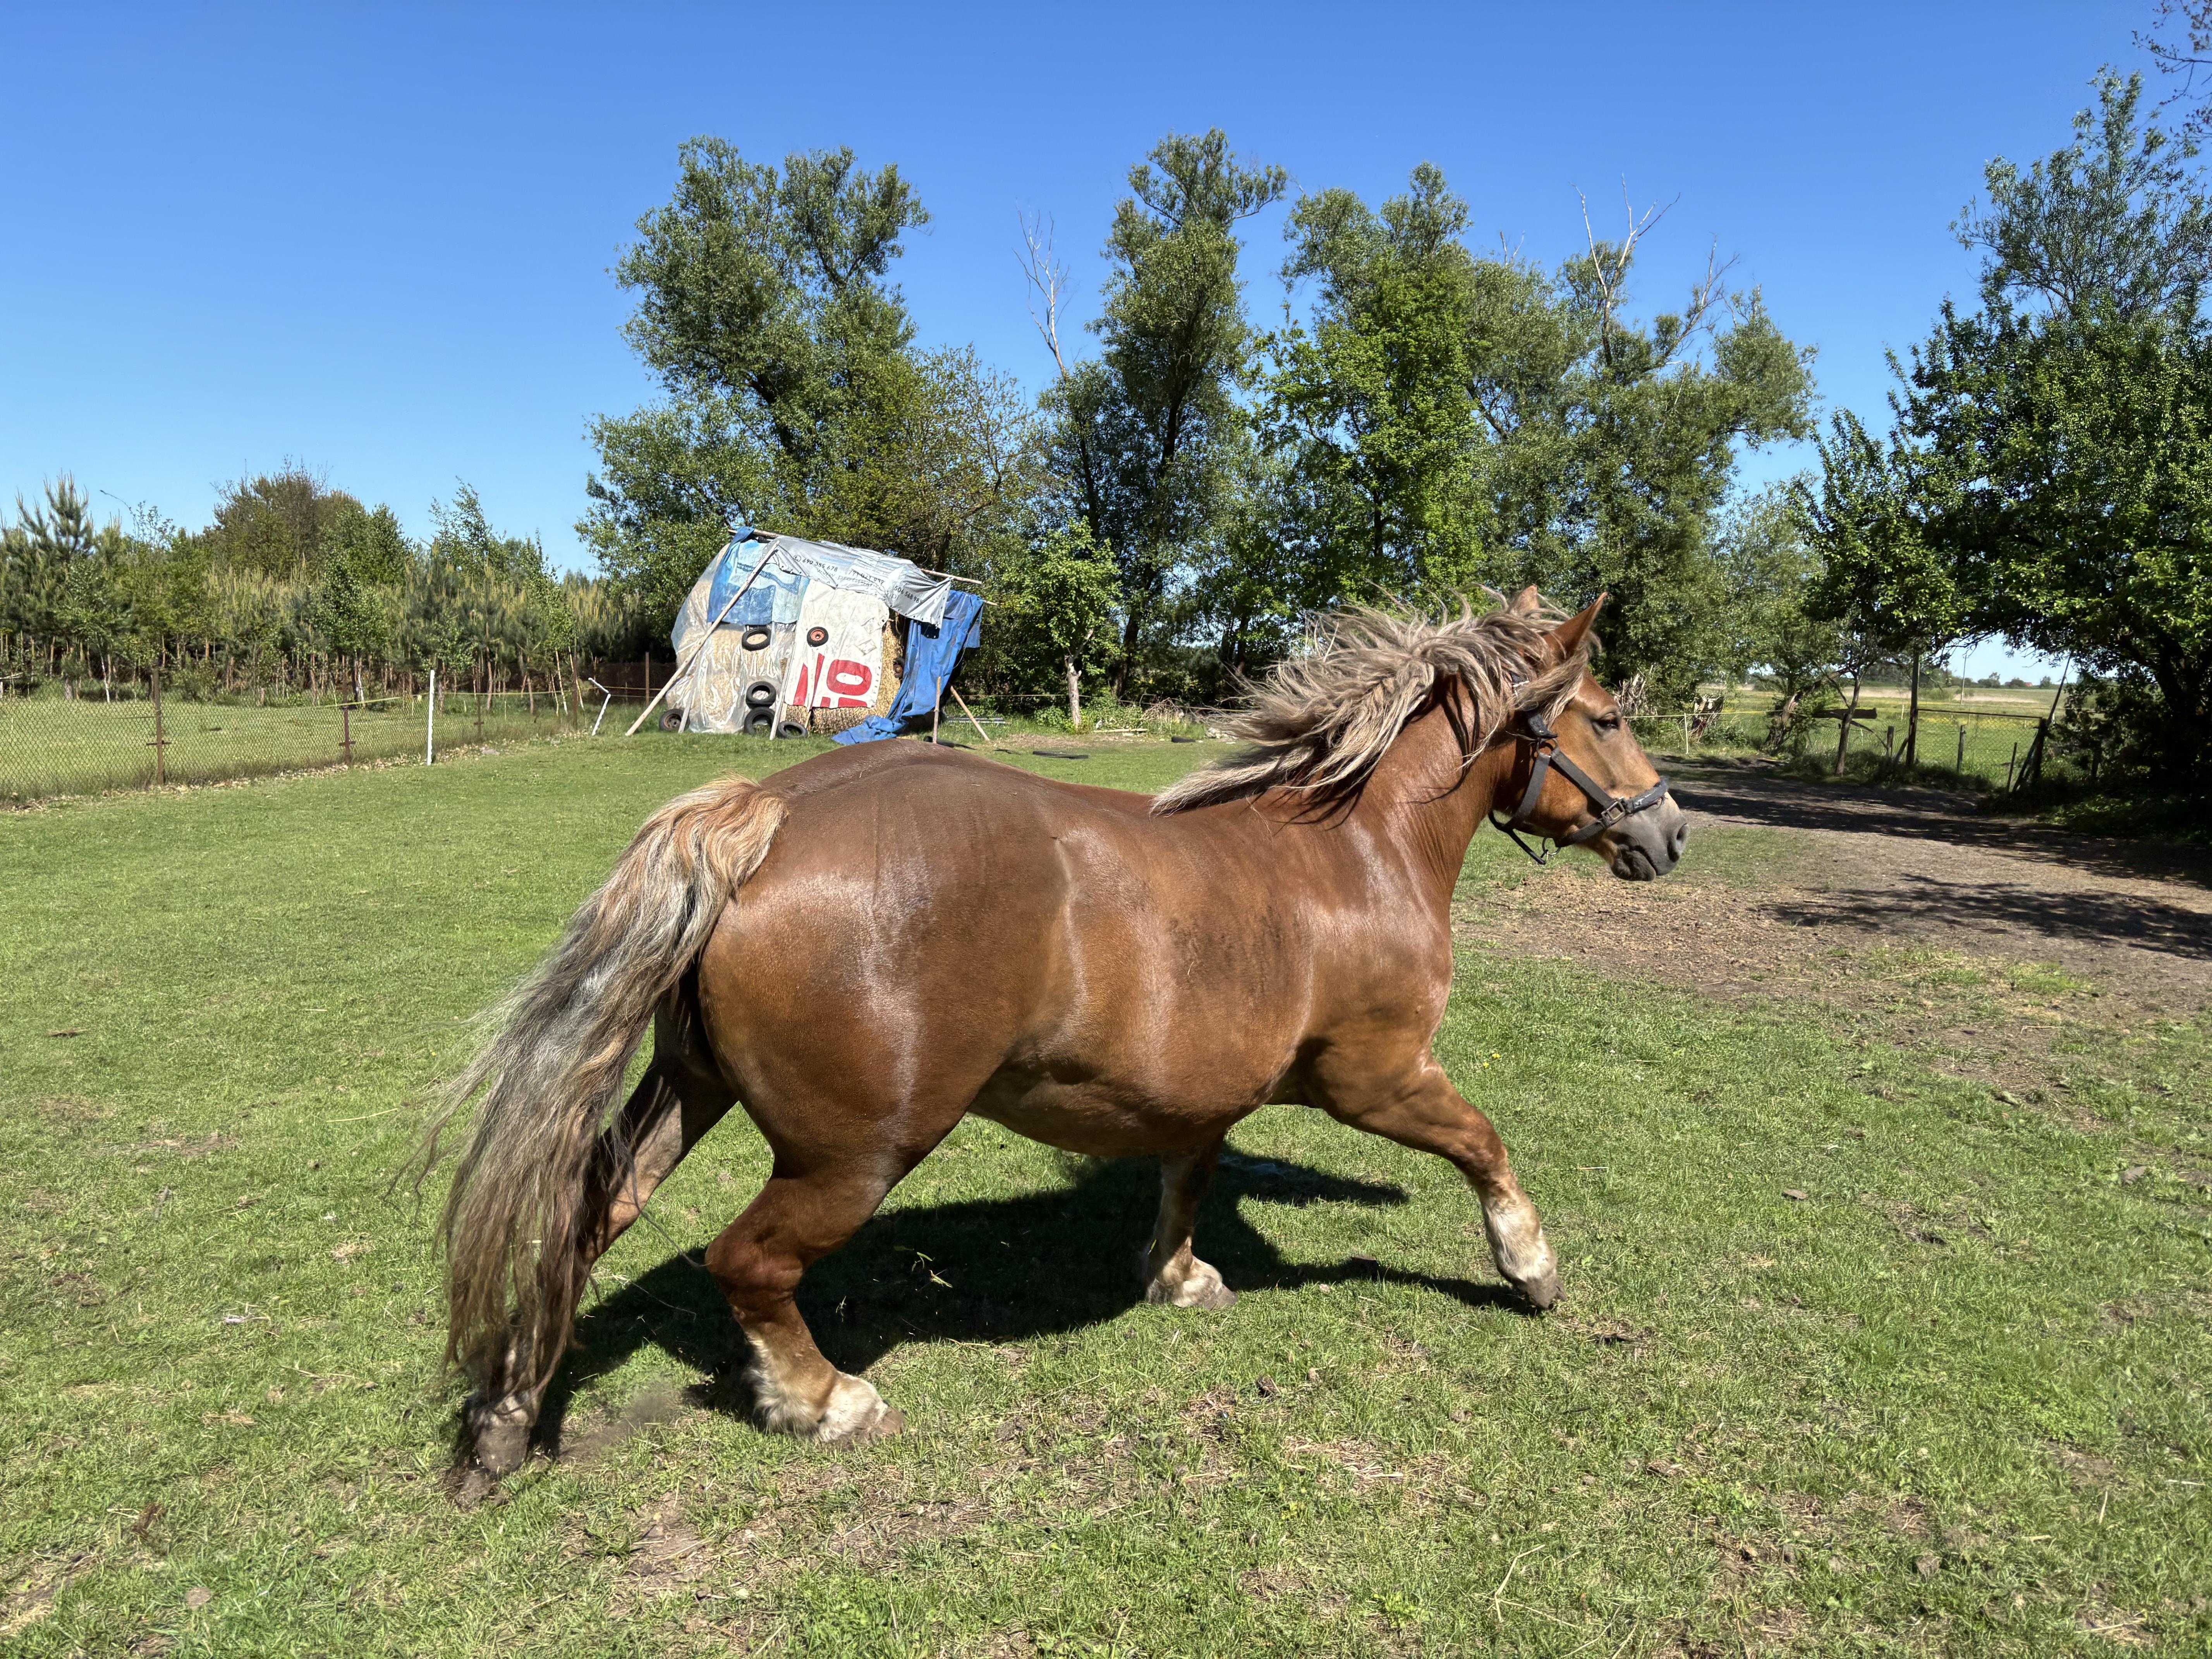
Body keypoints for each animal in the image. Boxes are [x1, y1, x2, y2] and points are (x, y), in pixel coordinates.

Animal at [431, 592, 1681, 1477]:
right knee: (747, 1262)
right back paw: (823, 1400)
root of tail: (769, 814)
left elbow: (1187, 1178)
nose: (1668, 831)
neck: (1356, 852)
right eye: (1611, 717)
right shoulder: (1379, 1078)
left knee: (583, 1218)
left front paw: (1176, 1276)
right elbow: (1485, 1145)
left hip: (689, 1088)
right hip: (853, 1153)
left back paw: (507, 1414)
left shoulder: (1202, 1093)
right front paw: (1530, 1268)